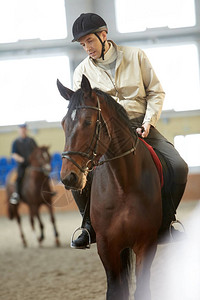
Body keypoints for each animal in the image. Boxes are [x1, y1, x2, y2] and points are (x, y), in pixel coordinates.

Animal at [56, 75, 162, 300]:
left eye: (88, 121)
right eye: (63, 123)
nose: (68, 177)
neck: (123, 184)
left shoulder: (146, 244)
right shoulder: (107, 247)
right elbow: (114, 290)